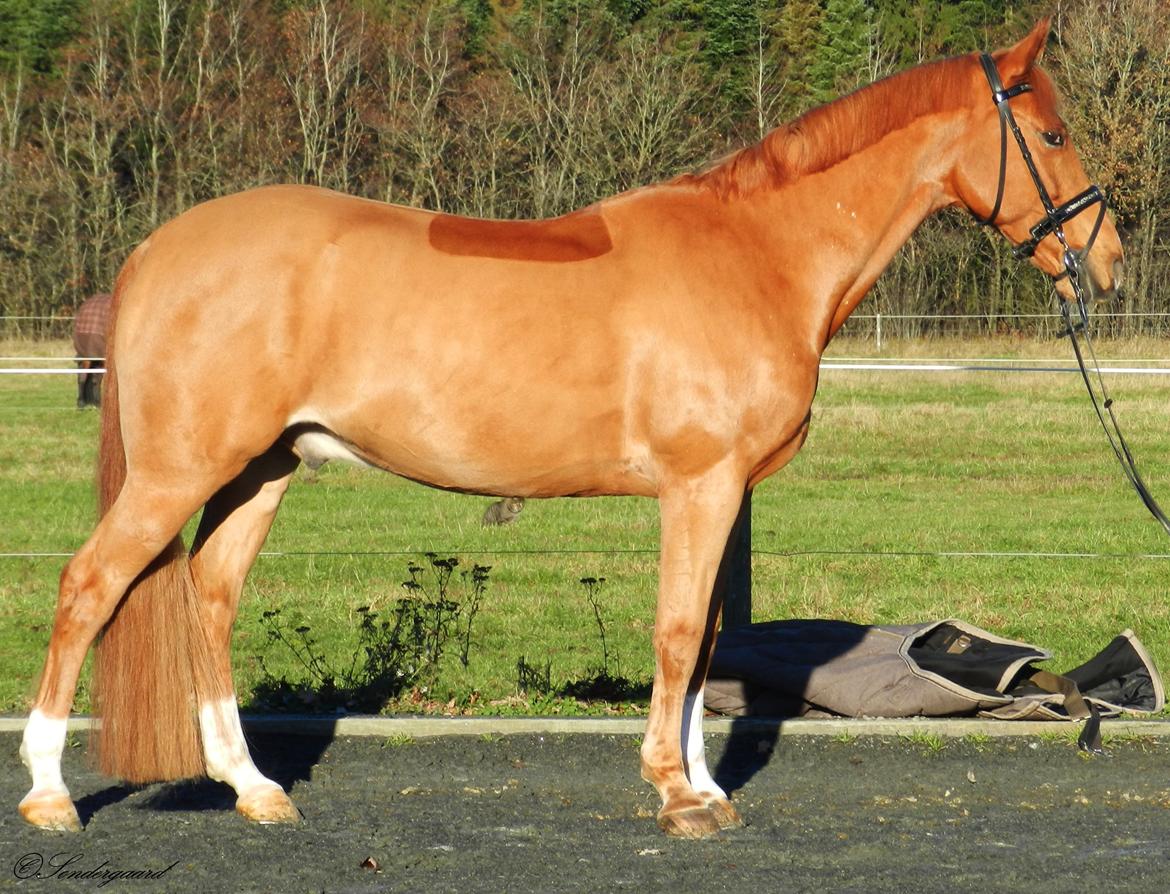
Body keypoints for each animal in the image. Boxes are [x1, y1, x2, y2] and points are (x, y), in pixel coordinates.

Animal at [19, 19, 1123, 838]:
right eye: (1053, 134)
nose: (1104, 262)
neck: (757, 254)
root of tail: (157, 249)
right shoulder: (701, 486)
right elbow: (678, 633)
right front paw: (679, 795)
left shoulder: (721, 496)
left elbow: (705, 637)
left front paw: (704, 786)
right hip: (180, 471)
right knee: (88, 588)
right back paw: (50, 794)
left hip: (260, 470)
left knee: (208, 598)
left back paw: (252, 788)